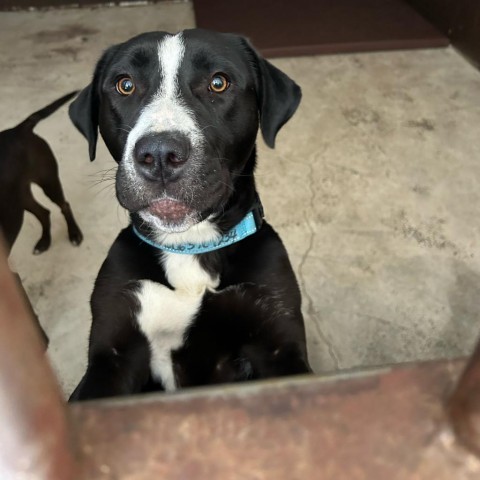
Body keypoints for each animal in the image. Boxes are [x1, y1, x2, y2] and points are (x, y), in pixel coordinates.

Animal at [0, 91, 83, 344]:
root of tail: (18, 129)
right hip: (20, 198)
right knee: (43, 213)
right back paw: (44, 241)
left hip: (48, 181)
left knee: (63, 206)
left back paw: (74, 234)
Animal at [70, 28, 312, 400]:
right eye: (125, 84)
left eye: (218, 82)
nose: (159, 153)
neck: (190, 246)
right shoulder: (112, 353)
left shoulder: (278, 344)